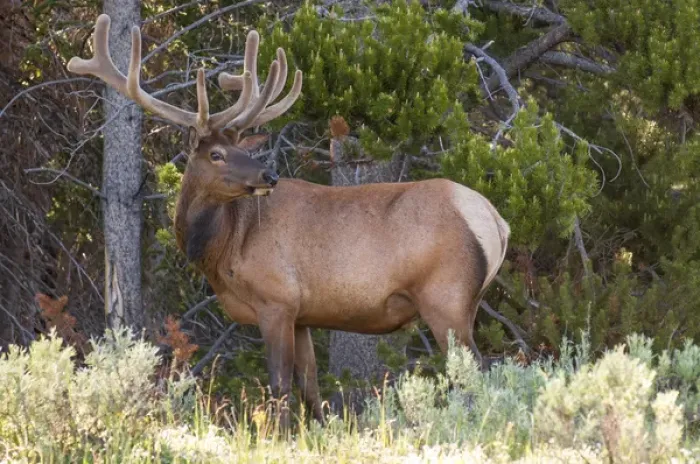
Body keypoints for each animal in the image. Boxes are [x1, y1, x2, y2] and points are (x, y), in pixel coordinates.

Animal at [68, 14, 510, 428]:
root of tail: (495, 220)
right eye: (217, 154)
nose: (269, 176)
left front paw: (276, 435)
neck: (224, 249)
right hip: (466, 301)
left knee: (476, 373)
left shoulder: (276, 299)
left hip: (446, 298)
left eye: (234, 150)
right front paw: (320, 432)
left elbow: (279, 385)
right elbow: (310, 386)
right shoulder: (303, 314)